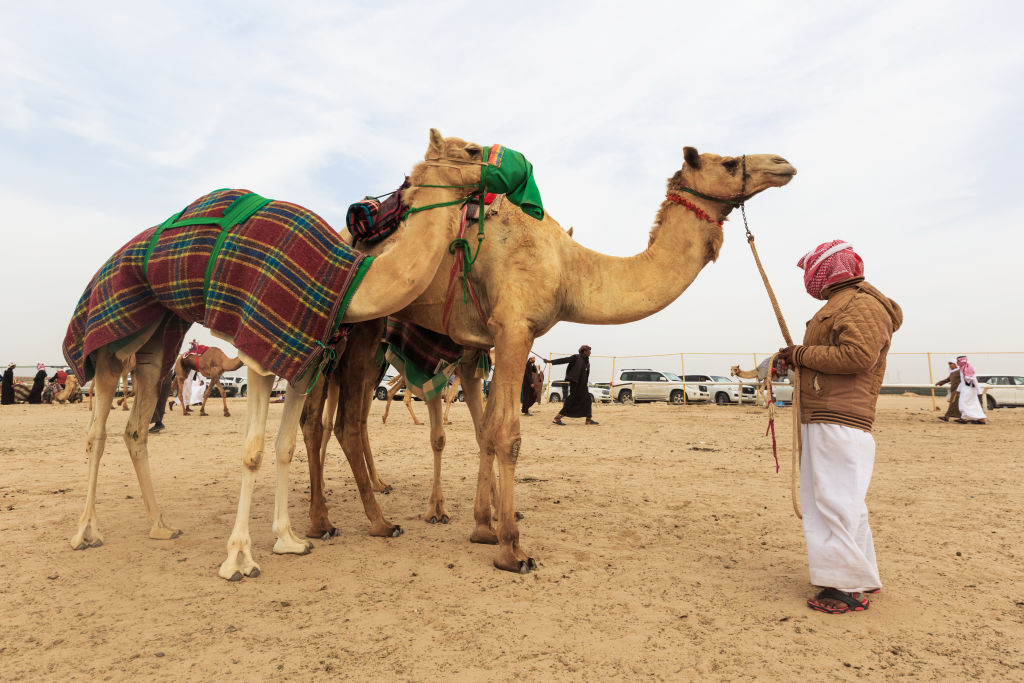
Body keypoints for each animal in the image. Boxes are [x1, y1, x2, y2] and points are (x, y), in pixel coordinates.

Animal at [63, 129, 493, 581]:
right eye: (471, 151)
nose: (504, 167)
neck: (346, 284)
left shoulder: (305, 364)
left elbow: (285, 445)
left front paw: (290, 540)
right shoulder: (261, 351)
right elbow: (252, 451)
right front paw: (239, 558)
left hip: (158, 338)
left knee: (136, 427)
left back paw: (161, 526)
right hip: (111, 341)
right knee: (97, 429)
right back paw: (86, 532)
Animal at [304, 145, 796, 572]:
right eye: (728, 162)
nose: (783, 163)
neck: (569, 268)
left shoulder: (483, 343)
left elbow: (485, 431)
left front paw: (483, 528)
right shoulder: (514, 328)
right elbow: (507, 435)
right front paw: (510, 550)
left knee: (339, 419)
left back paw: (342, 515)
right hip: (354, 328)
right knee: (330, 420)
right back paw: (357, 522)